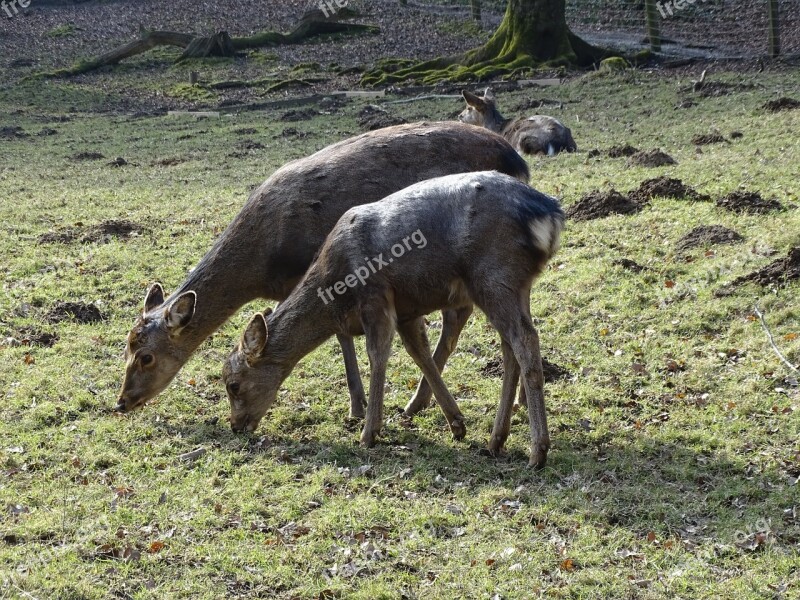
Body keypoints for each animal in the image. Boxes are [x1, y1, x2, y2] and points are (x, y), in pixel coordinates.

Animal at [115, 122, 528, 422]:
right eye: (126, 345)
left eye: (146, 356)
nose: (122, 401)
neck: (262, 266)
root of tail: (518, 160)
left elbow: (342, 336)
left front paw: (357, 408)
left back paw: (424, 402)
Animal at [222, 171, 564, 472]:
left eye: (233, 384)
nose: (236, 426)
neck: (335, 293)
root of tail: (550, 212)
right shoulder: (407, 309)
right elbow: (420, 354)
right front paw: (456, 423)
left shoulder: (376, 296)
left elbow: (378, 355)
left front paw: (369, 433)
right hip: (516, 286)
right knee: (511, 346)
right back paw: (495, 441)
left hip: (493, 275)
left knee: (524, 340)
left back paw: (537, 451)